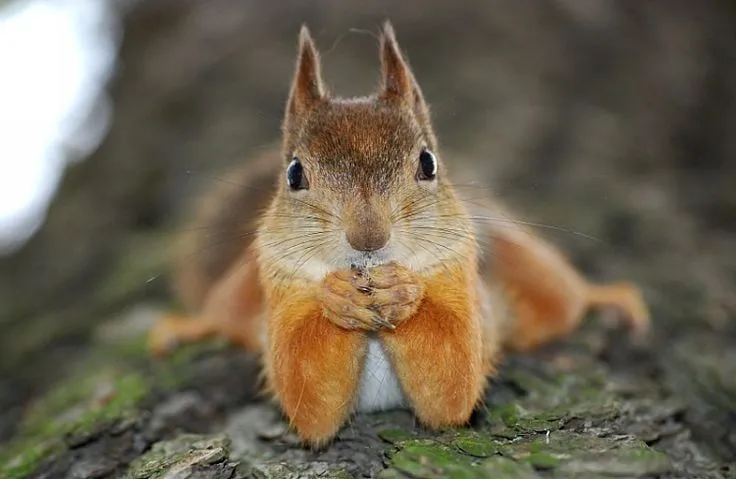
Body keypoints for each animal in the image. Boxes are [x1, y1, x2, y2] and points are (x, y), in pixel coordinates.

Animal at [145, 21, 648, 450]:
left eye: (428, 162)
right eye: (293, 174)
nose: (369, 237)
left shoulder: (461, 279)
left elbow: (453, 380)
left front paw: (404, 292)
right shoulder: (279, 285)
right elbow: (308, 397)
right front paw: (338, 298)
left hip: (523, 264)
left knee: (563, 299)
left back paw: (607, 296)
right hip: (244, 286)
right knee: (224, 314)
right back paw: (188, 326)